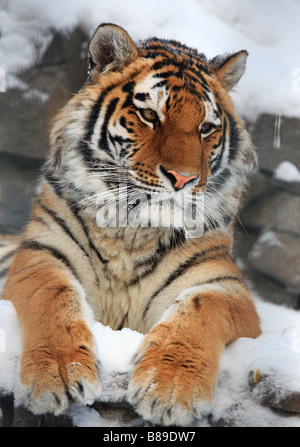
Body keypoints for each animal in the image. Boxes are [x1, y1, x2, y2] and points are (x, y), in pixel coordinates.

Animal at [0, 23, 260, 428]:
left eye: (205, 128)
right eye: (150, 115)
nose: (183, 179)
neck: (132, 228)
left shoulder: (225, 285)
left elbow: (201, 307)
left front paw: (169, 389)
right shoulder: (42, 253)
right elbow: (52, 295)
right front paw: (58, 374)